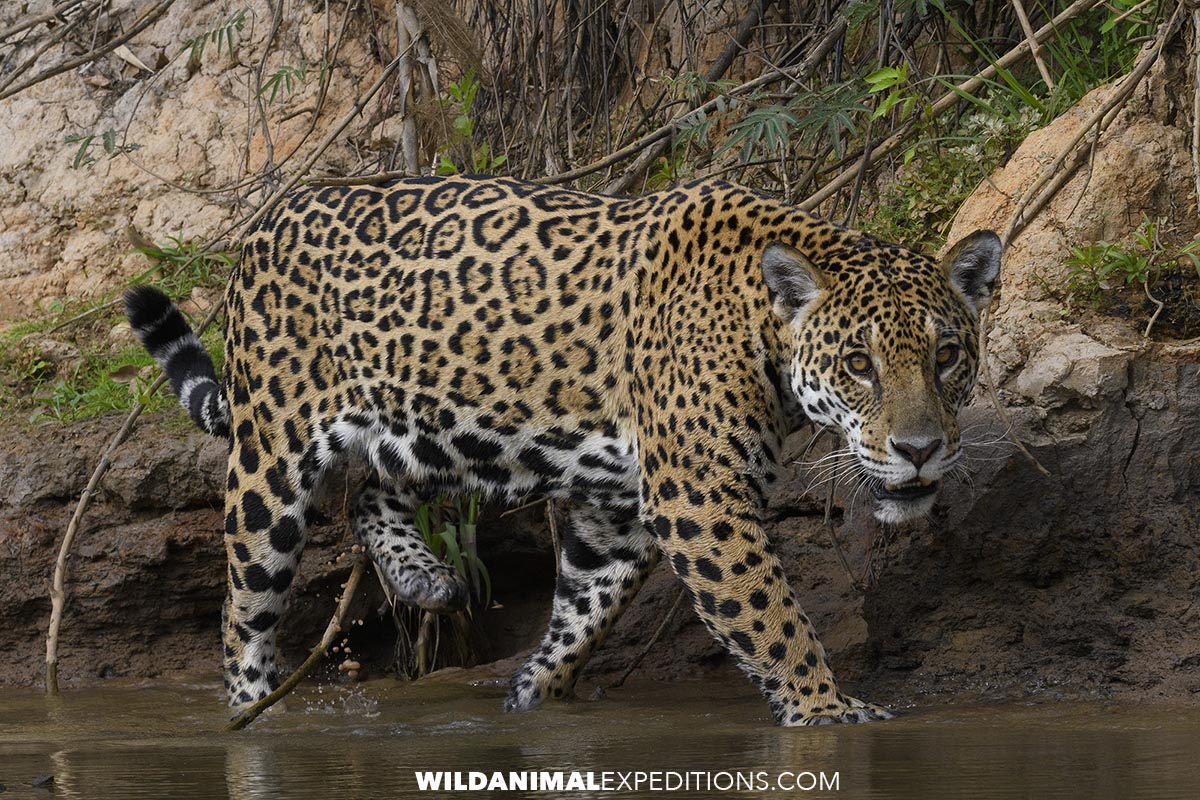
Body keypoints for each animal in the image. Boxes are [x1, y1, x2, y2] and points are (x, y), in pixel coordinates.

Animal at [124, 174, 1000, 726]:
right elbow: (770, 616)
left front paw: (530, 703)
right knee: (244, 613)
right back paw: (253, 714)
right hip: (272, 462)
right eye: (859, 365)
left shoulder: (621, 510)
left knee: (371, 493)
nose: (921, 449)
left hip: (446, 431)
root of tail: (263, 225)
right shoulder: (702, 498)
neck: (762, 328)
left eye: (947, 356)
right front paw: (827, 709)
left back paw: (425, 578)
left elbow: (584, 614)